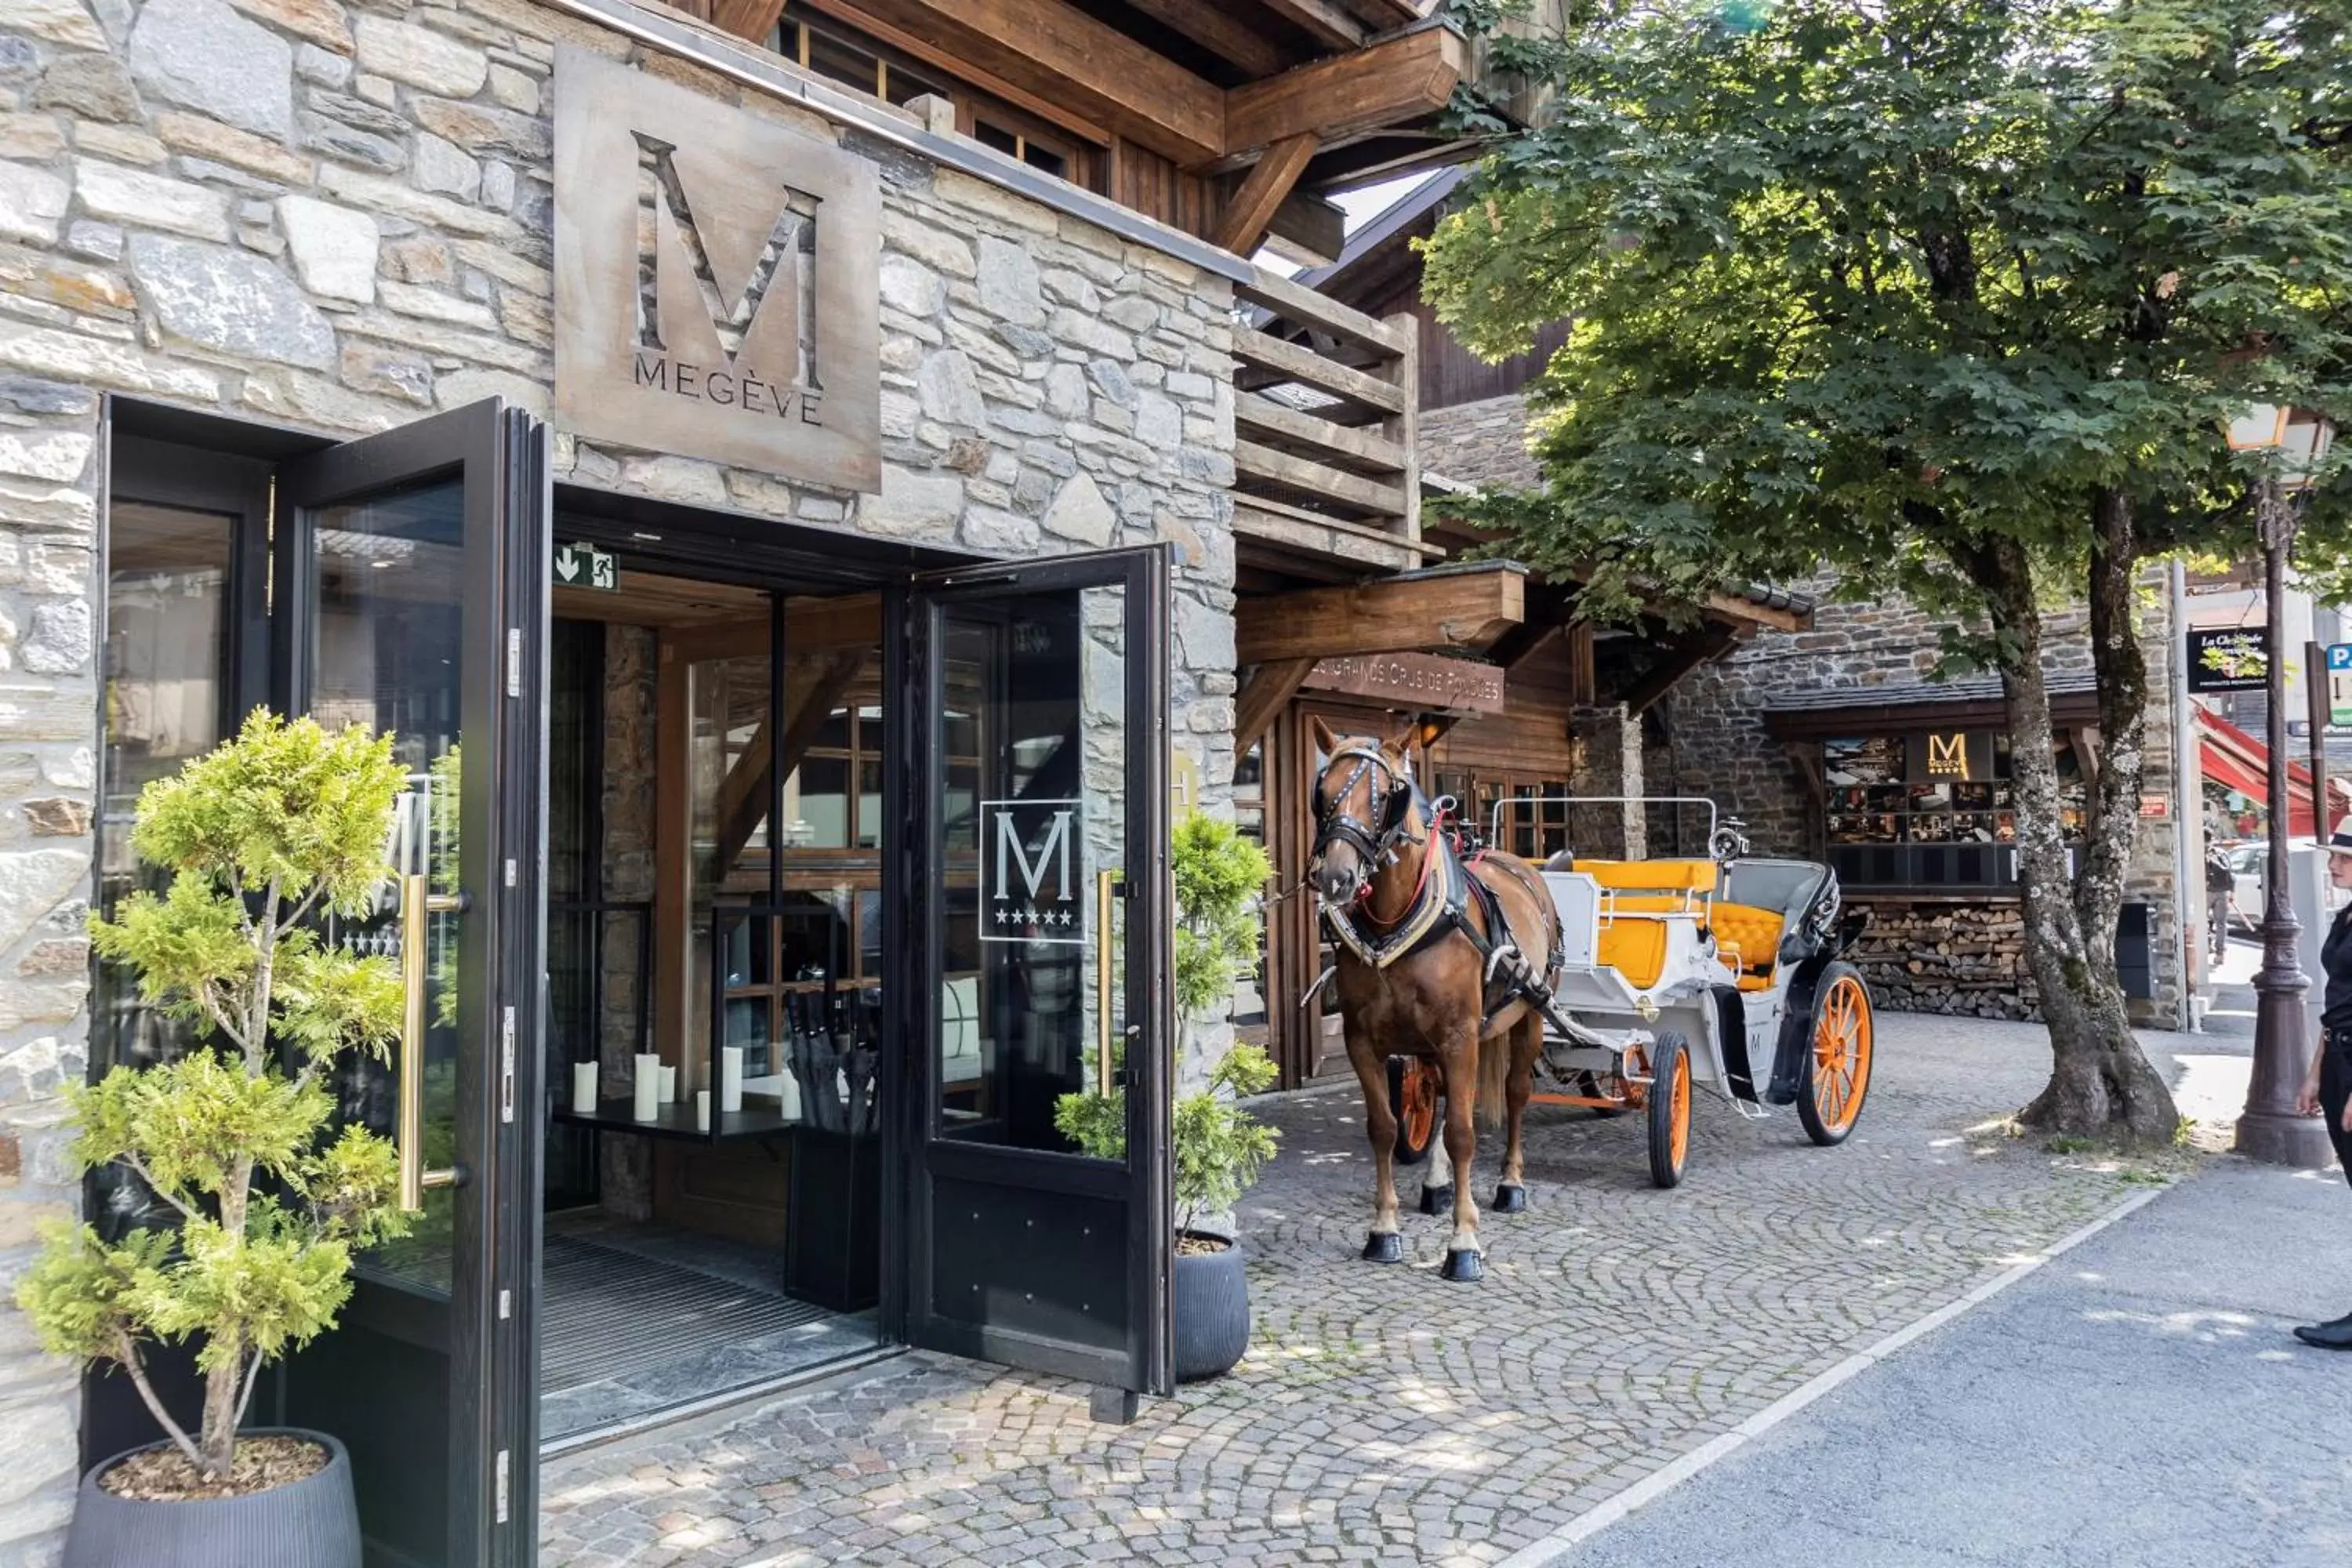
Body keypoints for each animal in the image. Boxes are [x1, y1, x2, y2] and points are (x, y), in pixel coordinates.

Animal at [1308, 719, 1562, 1279]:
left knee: (1515, 1094)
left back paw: (1510, 1183)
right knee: (1446, 1096)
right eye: (1322, 790)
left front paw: (1463, 1242)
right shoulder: (1362, 1041)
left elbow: (1465, 1133)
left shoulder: (1459, 1035)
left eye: (1389, 795)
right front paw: (1384, 1230)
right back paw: (1438, 1184)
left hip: (1529, 1015)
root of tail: (1517, 863)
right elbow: (1383, 1128)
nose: (1335, 877)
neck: (1398, 915)